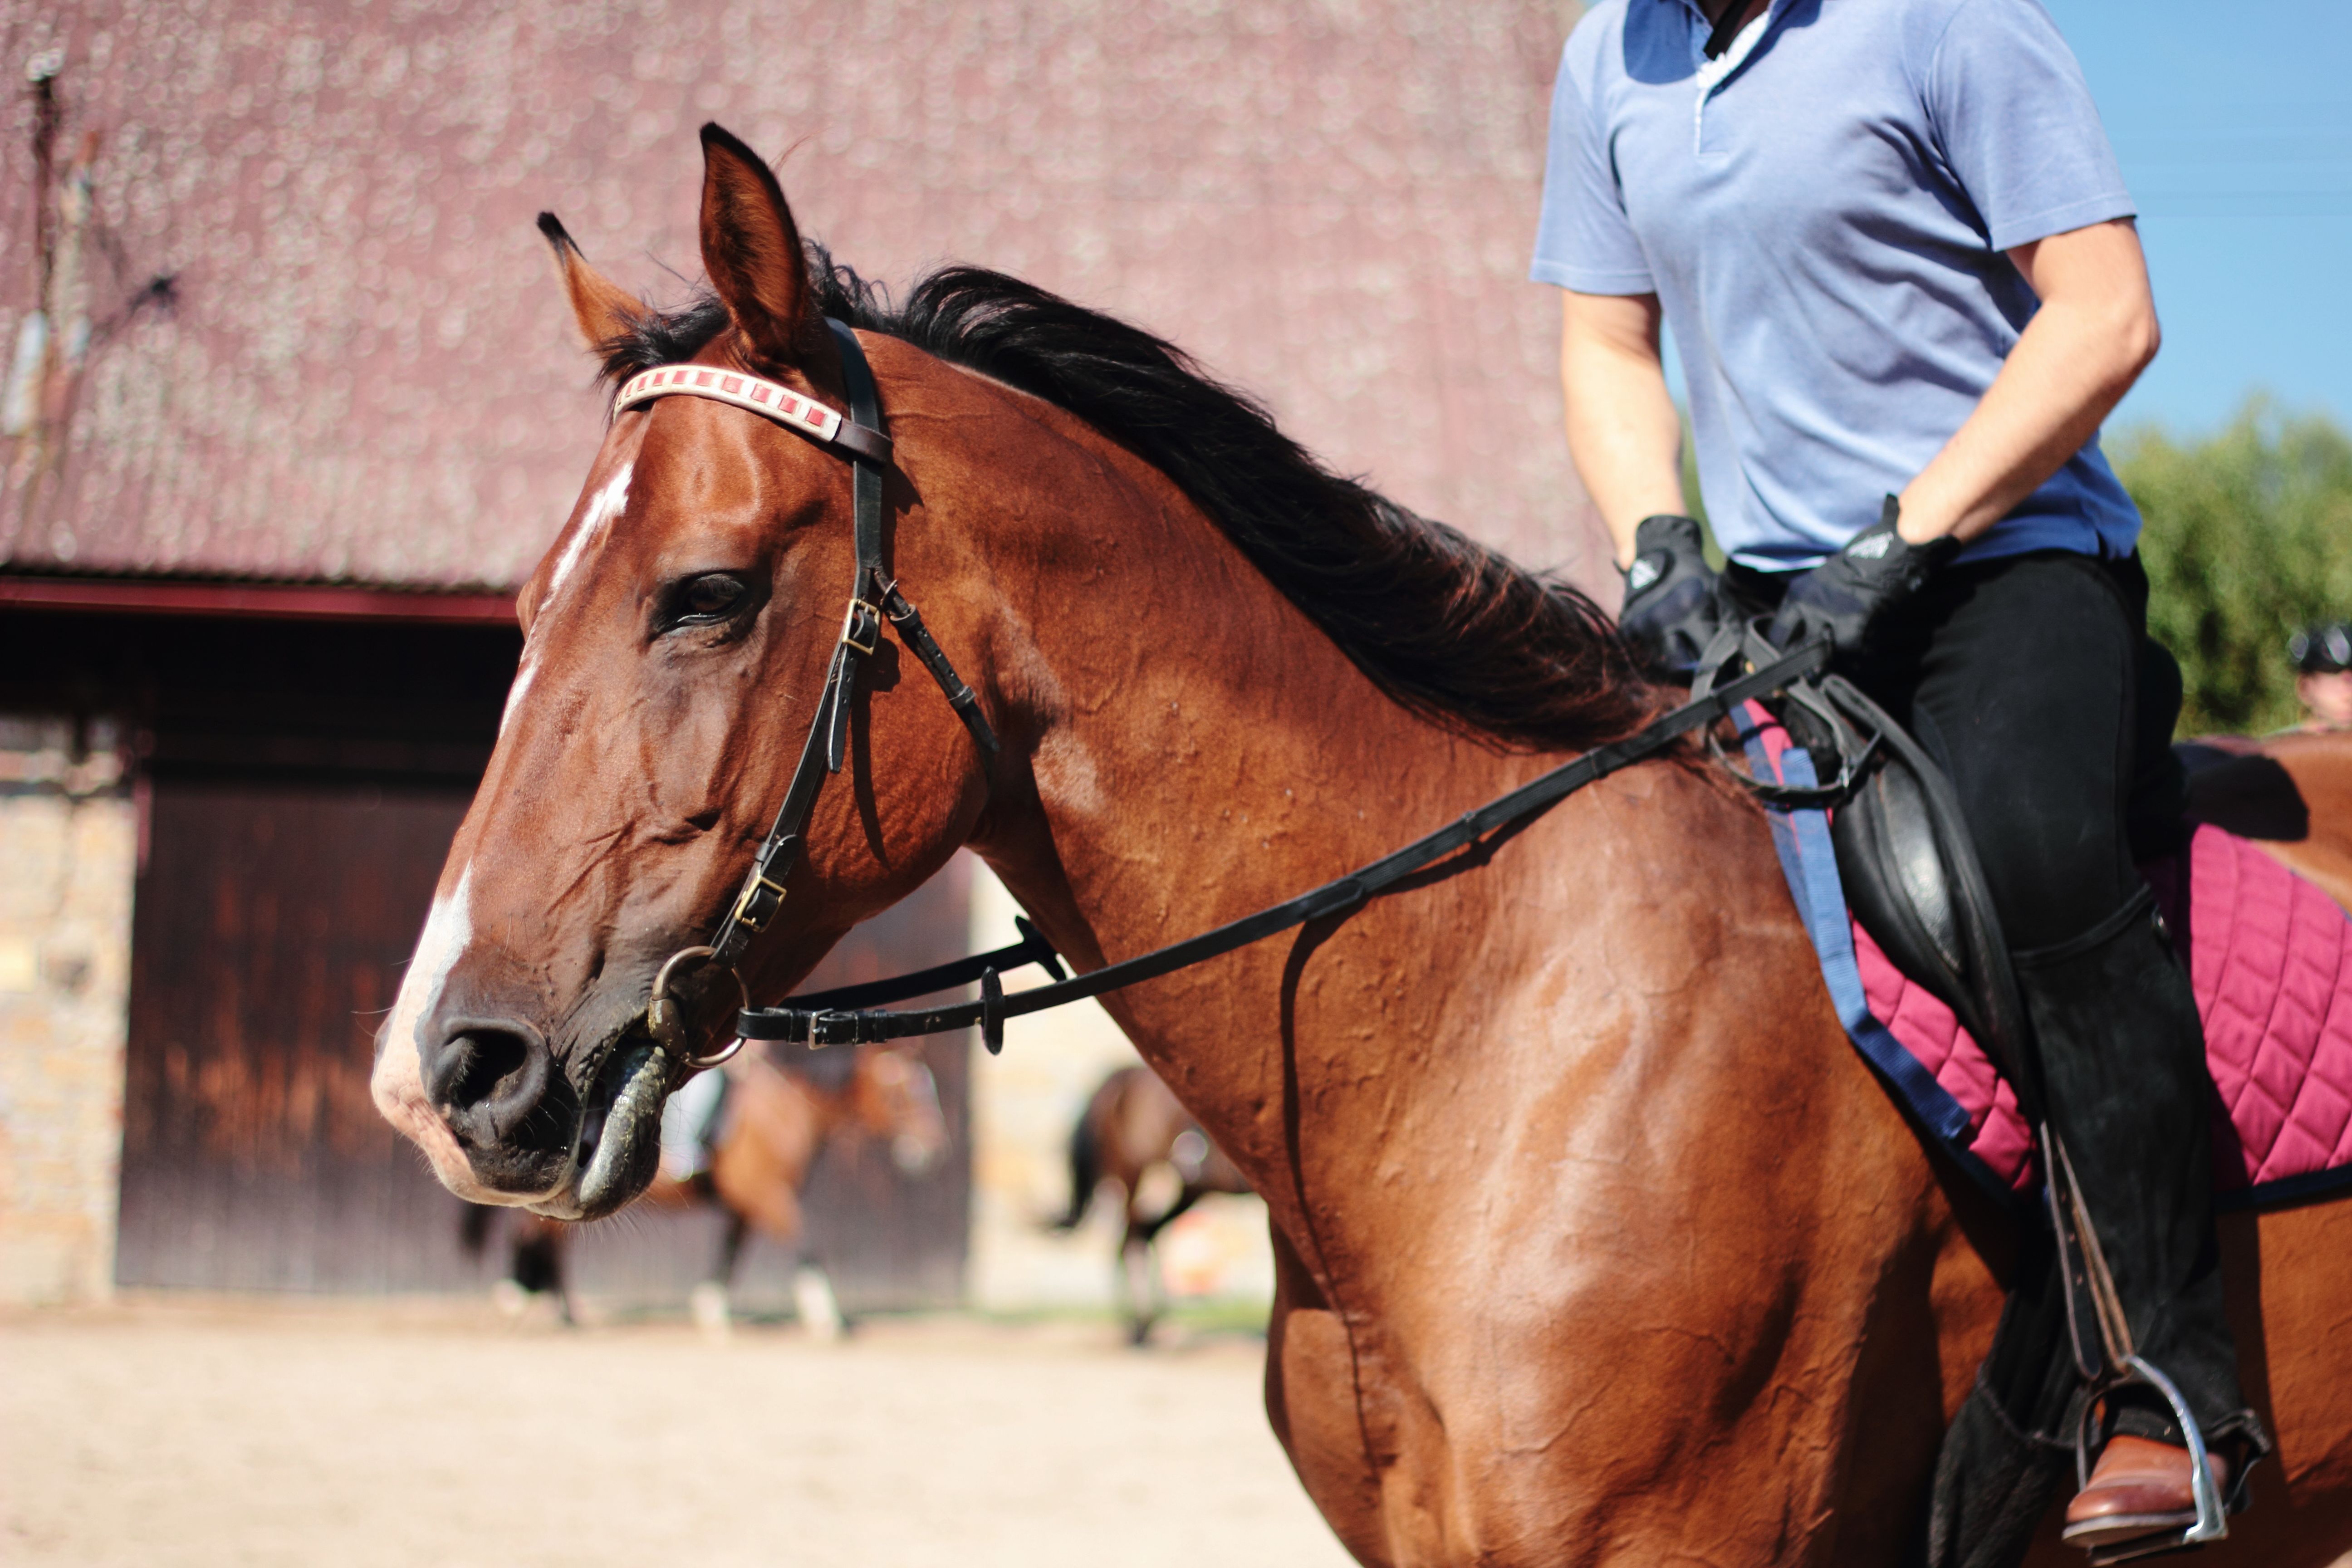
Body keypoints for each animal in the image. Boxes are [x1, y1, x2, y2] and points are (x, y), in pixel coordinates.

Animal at [459, 1041, 946, 1336]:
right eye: (900, 1095)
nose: (930, 1147)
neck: (783, 1110)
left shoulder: (747, 1206)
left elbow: (731, 1254)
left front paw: (713, 1311)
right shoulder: (771, 1197)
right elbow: (806, 1245)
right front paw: (827, 1319)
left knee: (547, 1241)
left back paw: (556, 1307)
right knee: (538, 1237)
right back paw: (534, 1302)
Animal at [1055, 1062, 1254, 1344]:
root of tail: (1114, 1080)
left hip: (1187, 1191)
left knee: (1144, 1234)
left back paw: (1150, 1321)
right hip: (1132, 1174)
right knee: (1131, 1241)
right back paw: (1141, 1325)